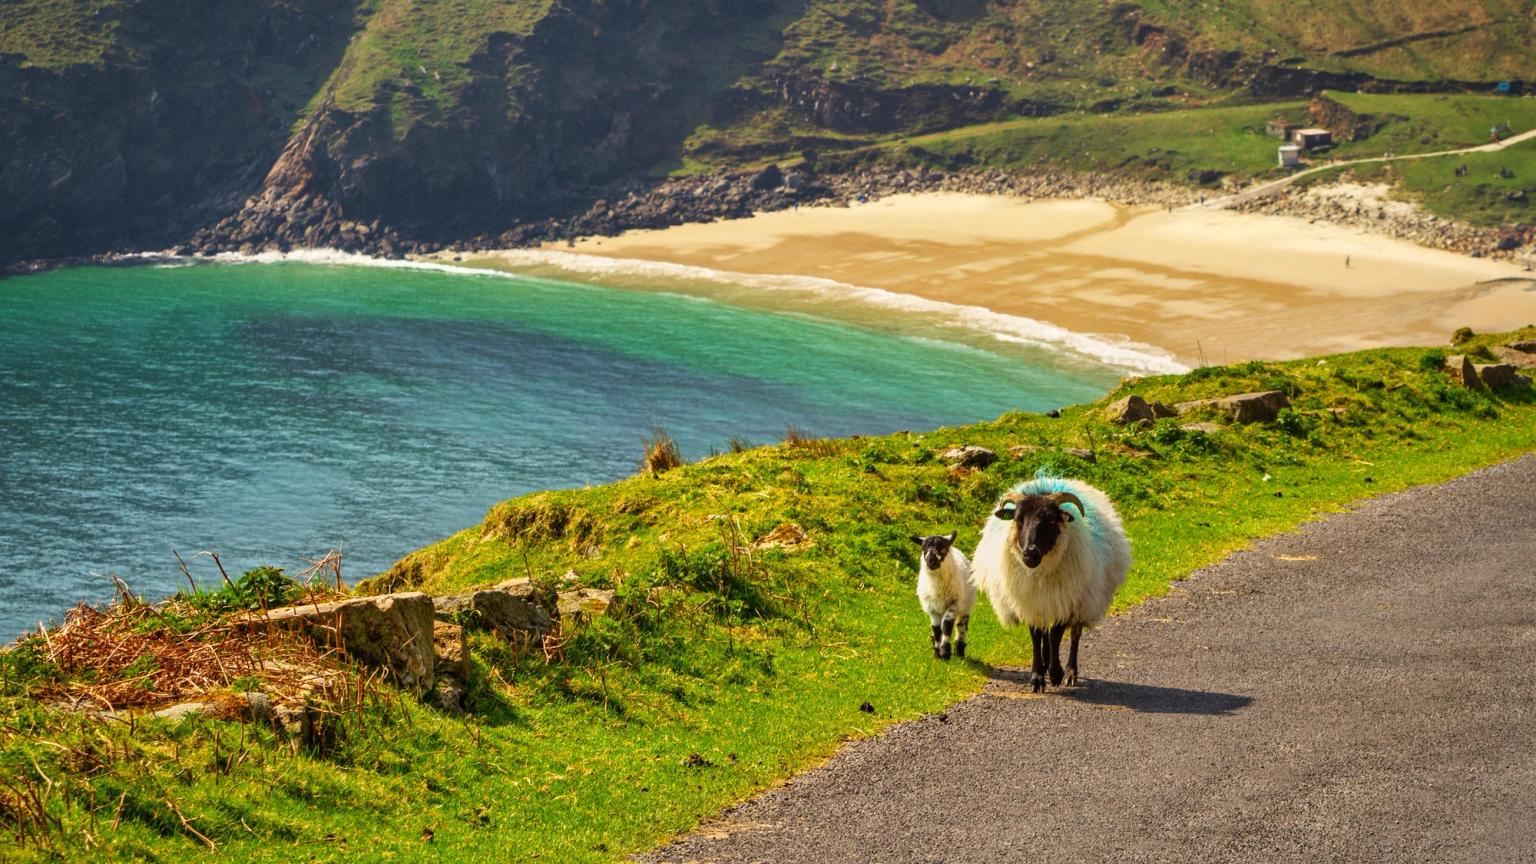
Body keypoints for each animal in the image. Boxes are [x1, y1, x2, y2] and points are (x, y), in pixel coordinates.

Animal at [911, 532, 975, 660]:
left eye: (943, 550)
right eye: (924, 549)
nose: (931, 561)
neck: (937, 587)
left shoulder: (953, 603)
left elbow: (946, 625)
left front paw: (945, 652)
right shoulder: (932, 608)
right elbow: (936, 629)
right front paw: (937, 652)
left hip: (966, 605)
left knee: (961, 626)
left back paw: (959, 650)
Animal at [970, 476, 1130, 692]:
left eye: (1051, 520)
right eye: (1018, 520)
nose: (1030, 553)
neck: (1040, 572)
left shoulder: (1067, 600)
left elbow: (1056, 634)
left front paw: (1056, 673)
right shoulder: (1031, 602)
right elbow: (1037, 635)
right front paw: (1038, 676)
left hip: (1084, 599)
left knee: (1074, 635)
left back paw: (1070, 672)